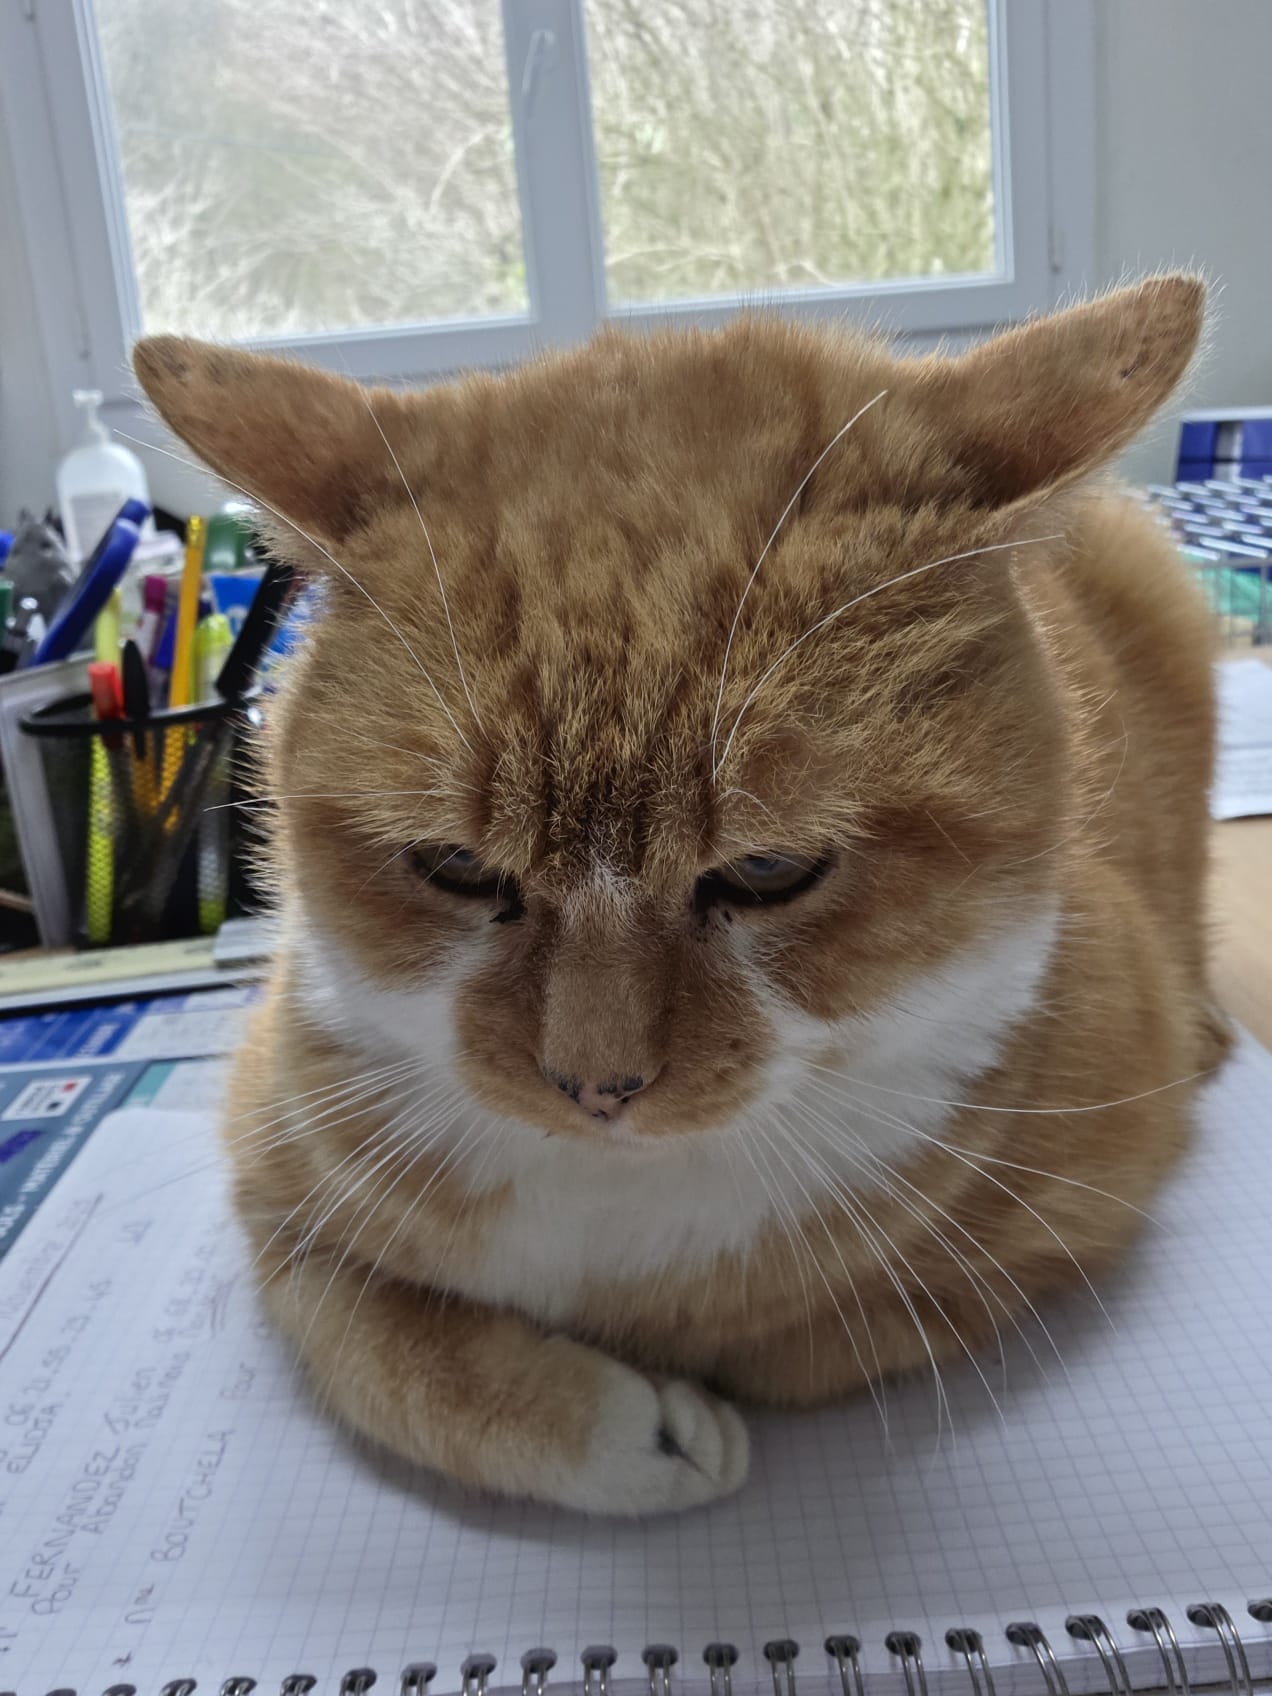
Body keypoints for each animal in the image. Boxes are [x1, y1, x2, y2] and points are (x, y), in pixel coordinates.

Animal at [133, 275, 1226, 1516]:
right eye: (456, 867)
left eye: (767, 872)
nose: (592, 1086)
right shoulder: (279, 1181)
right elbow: (384, 1357)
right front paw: (626, 1426)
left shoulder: (1080, 1191)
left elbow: (805, 1335)